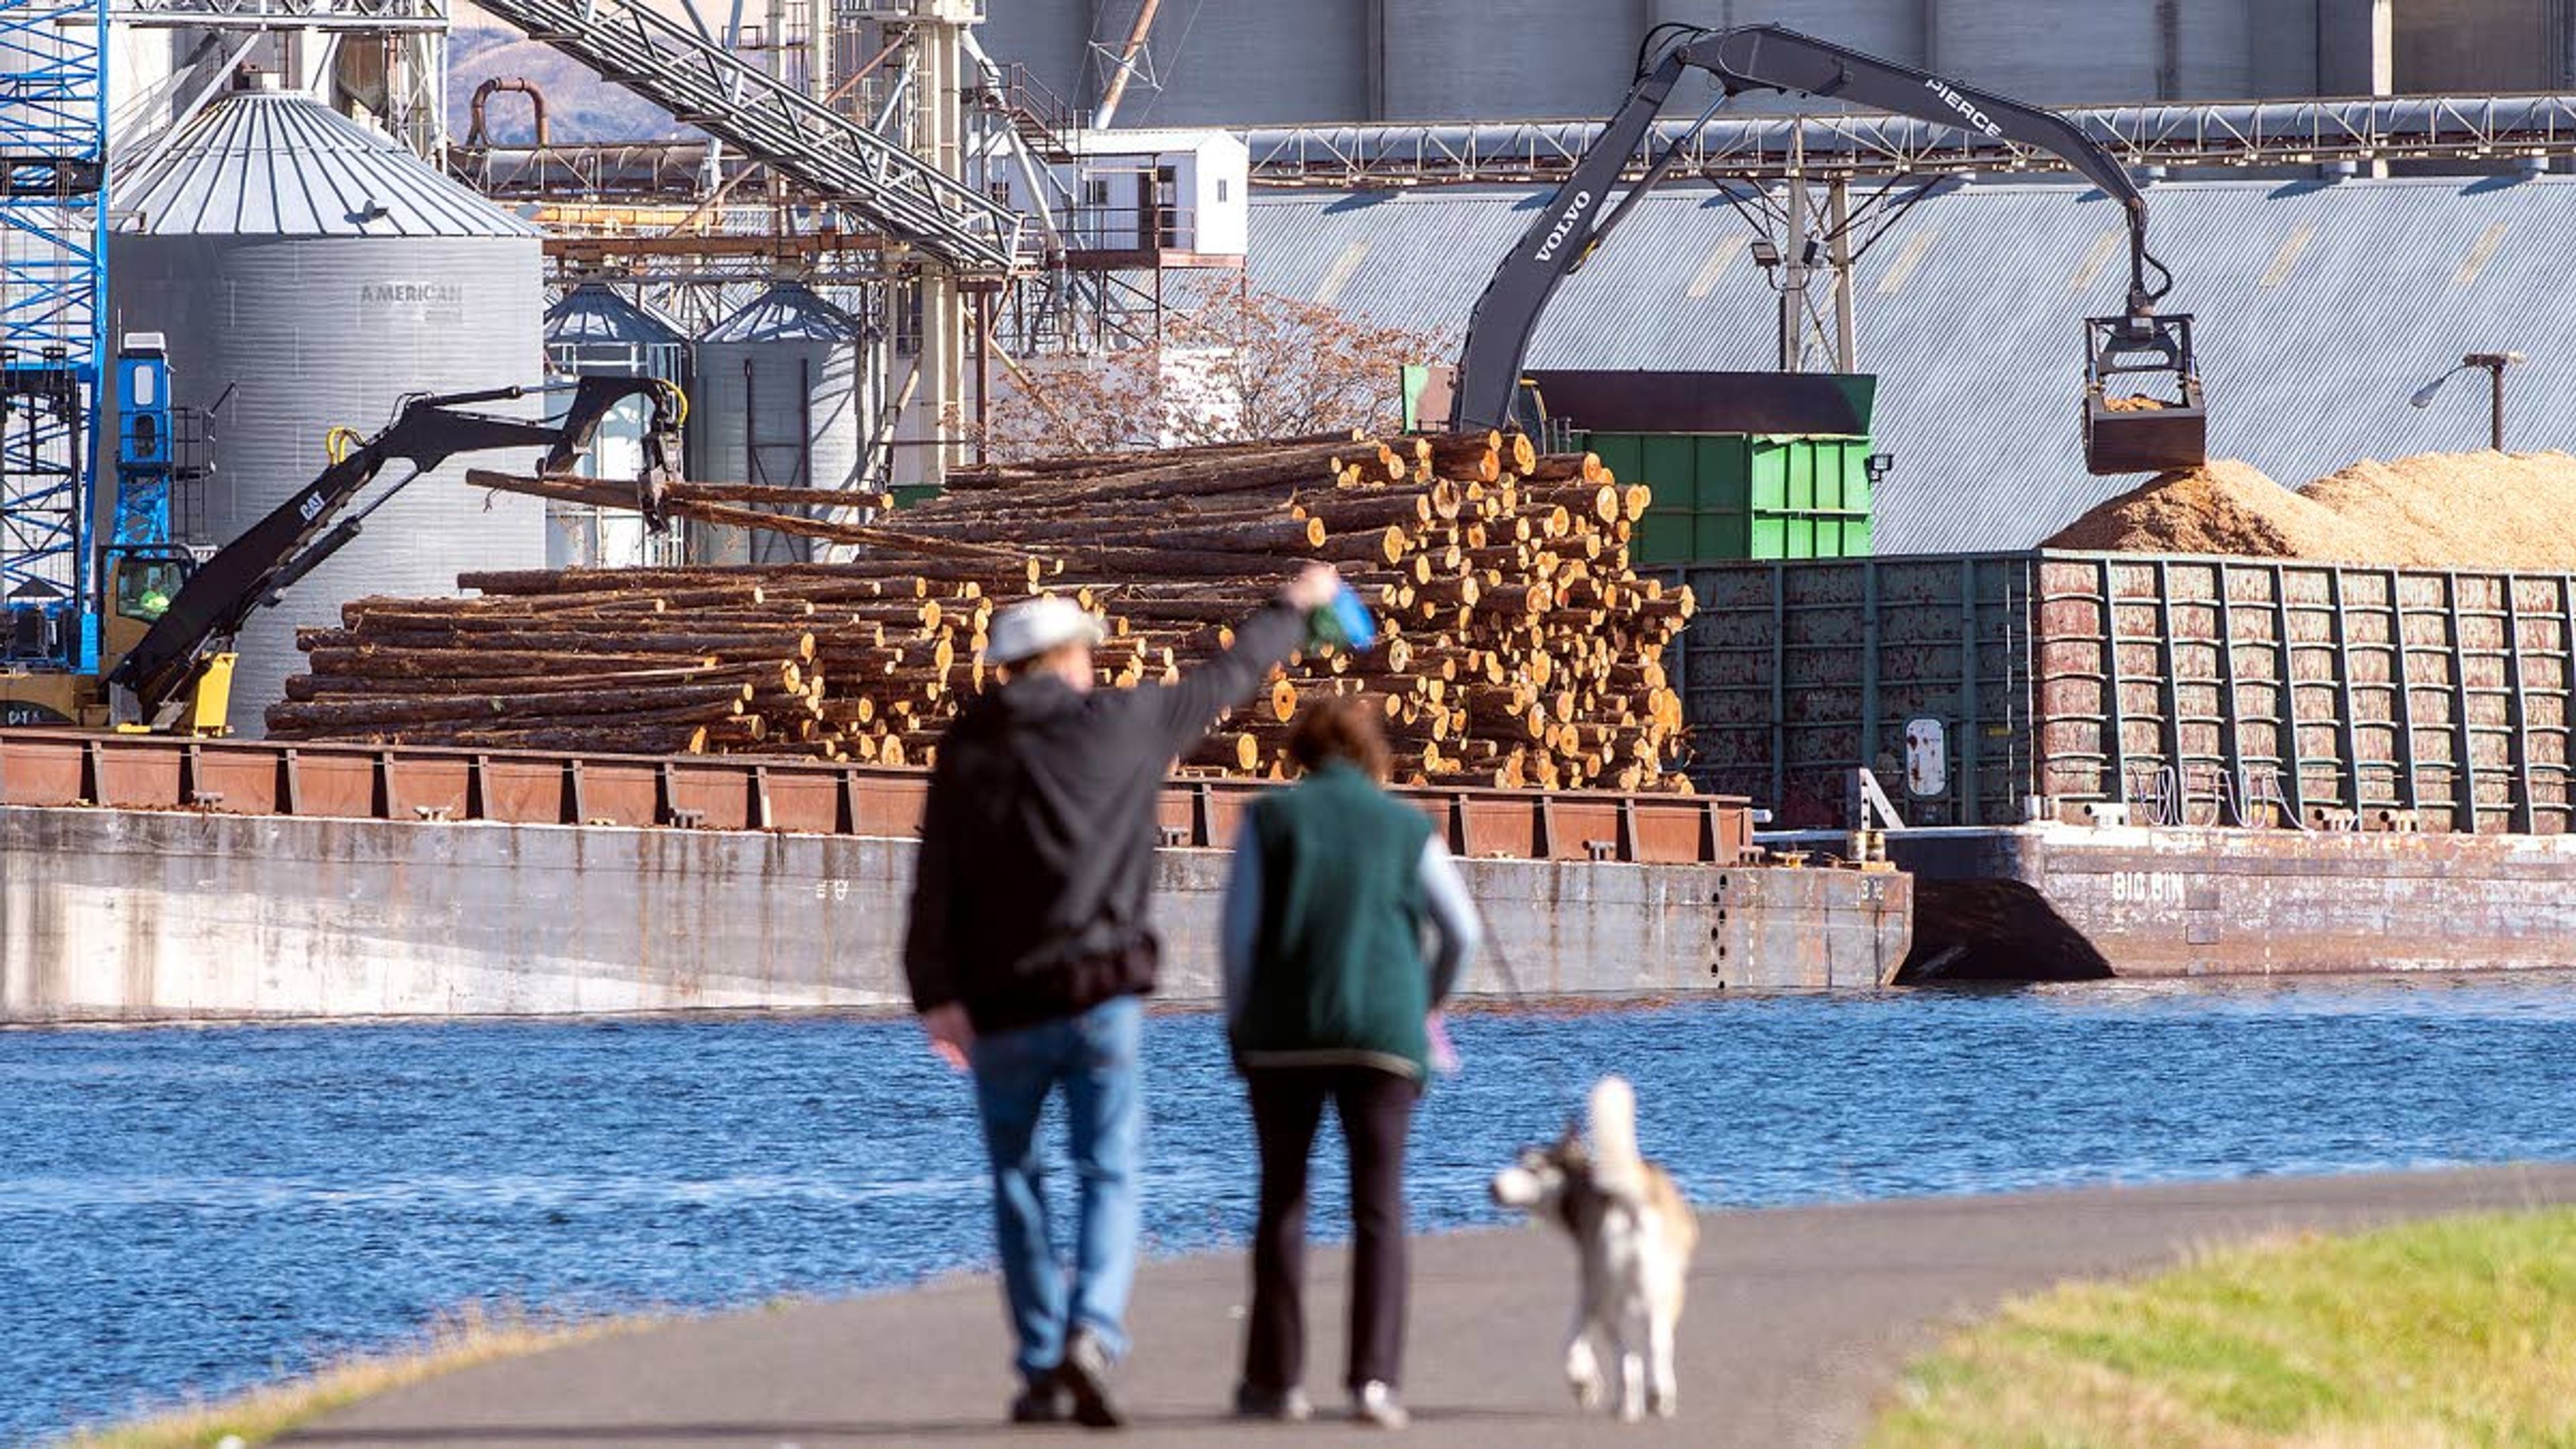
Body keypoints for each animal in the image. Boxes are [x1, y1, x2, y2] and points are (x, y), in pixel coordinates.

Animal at [1494, 1072, 1690, 1423]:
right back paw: (1659, 1397)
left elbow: (1571, 1342)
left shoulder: (1588, 1289)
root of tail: (1629, 1204)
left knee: (1627, 1358)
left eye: (1532, 1167)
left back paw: (1627, 1406)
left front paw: (1583, 1384)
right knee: (1656, 1345)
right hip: (1664, 1291)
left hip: (1611, 1297)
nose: (1491, 1187)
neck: (1581, 1184)